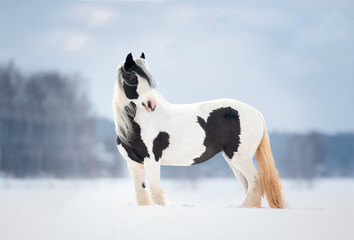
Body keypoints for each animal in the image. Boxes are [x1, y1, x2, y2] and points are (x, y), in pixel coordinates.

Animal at [112, 52, 284, 208]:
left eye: (148, 80)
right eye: (132, 78)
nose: (150, 104)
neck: (138, 124)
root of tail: (255, 112)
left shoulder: (152, 161)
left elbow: (156, 193)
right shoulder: (134, 165)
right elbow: (141, 194)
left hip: (241, 159)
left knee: (255, 180)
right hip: (233, 160)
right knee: (248, 185)